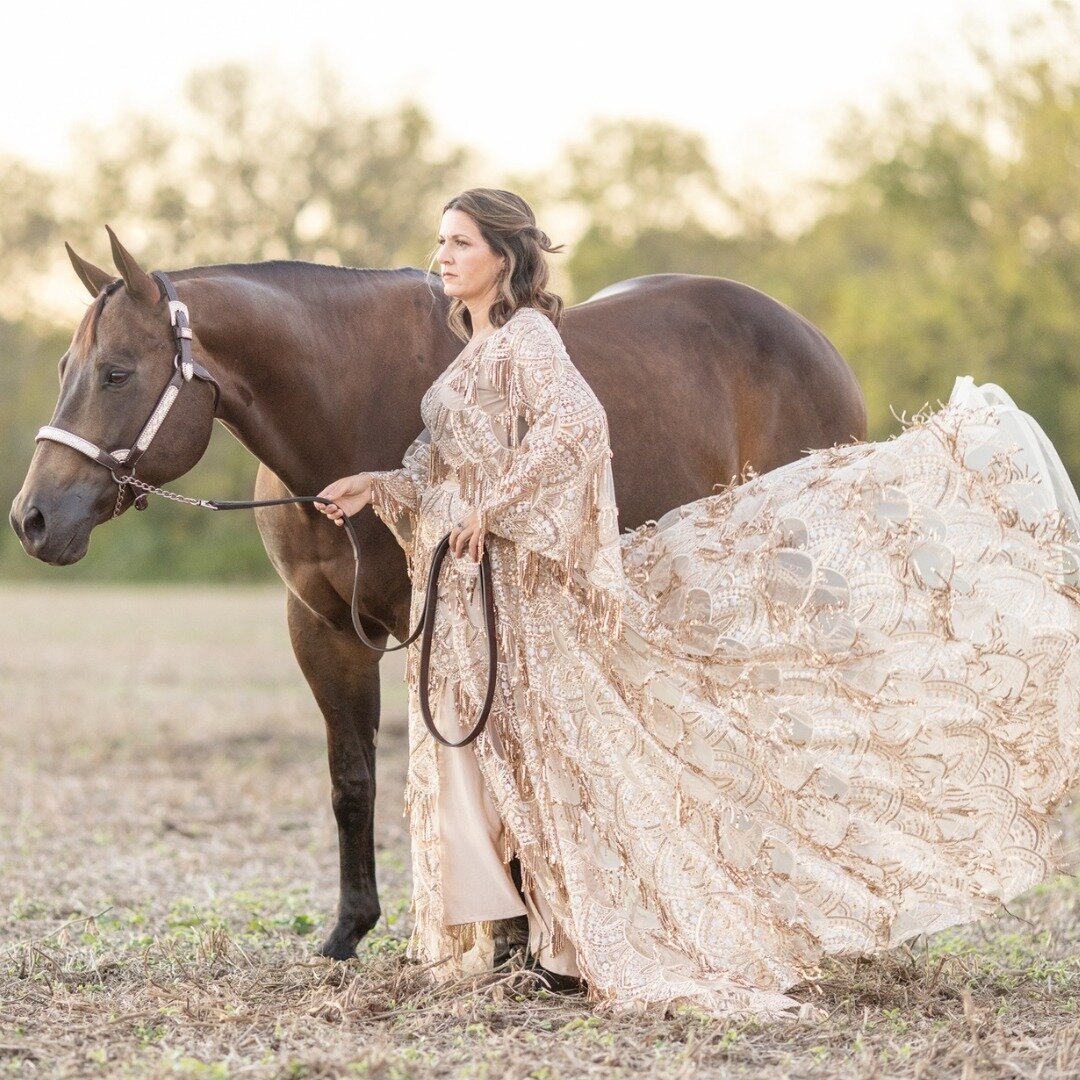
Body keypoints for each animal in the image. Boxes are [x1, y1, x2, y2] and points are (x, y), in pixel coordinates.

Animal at [10, 225, 868, 954]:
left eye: (117, 372)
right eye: (64, 370)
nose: (32, 519)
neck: (351, 407)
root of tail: (812, 338)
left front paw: (517, 938)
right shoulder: (324, 629)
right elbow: (351, 779)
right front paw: (349, 931)